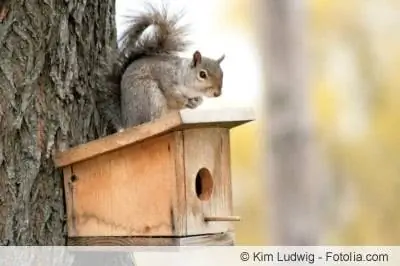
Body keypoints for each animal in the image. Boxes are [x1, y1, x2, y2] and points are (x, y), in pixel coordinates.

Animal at [100, 4, 225, 133]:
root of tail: (127, 123)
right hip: (149, 95)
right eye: (202, 74)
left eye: (222, 74)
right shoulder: (166, 80)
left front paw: (198, 101)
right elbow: (173, 97)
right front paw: (186, 102)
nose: (217, 93)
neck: (182, 76)